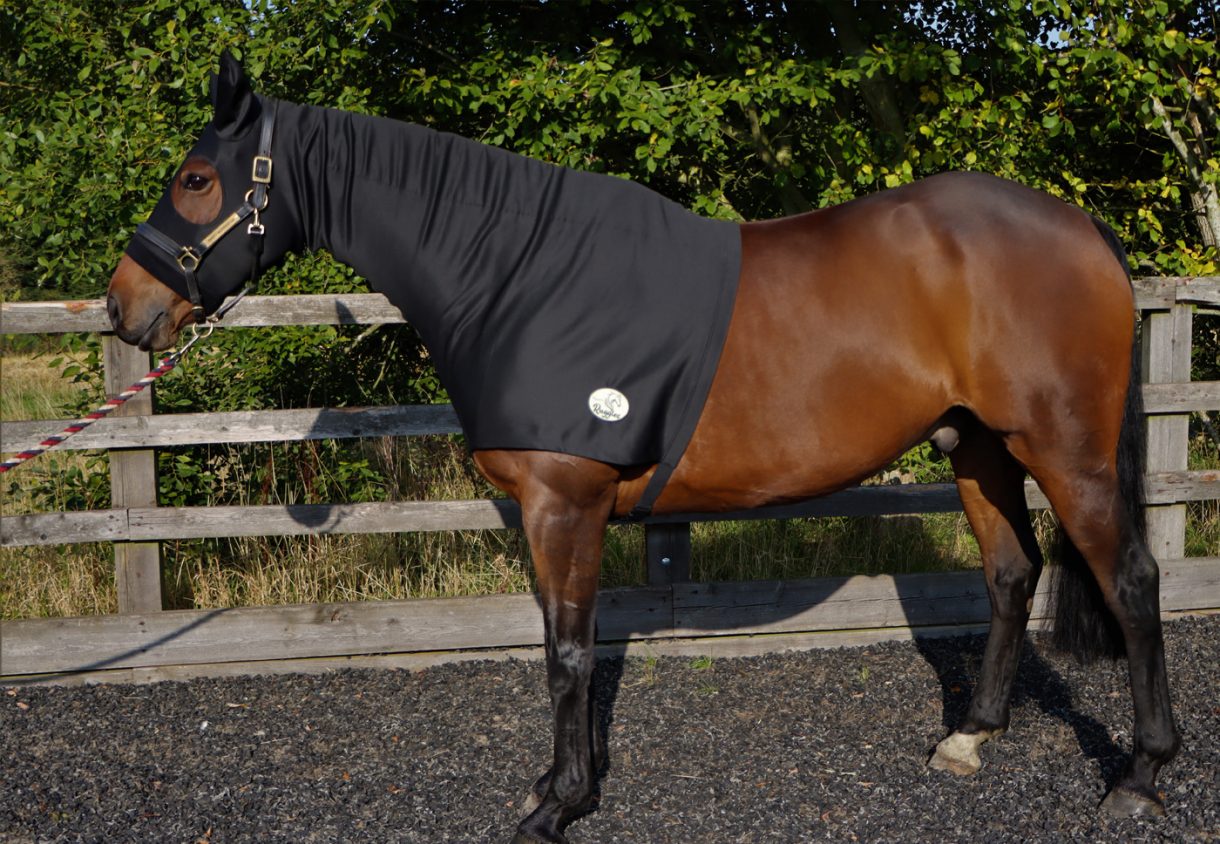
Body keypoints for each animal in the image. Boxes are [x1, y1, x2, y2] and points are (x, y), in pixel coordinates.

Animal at [106, 53, 1179, 843]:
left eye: (196, 178)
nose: (125, 306)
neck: (518, 273)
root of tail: (1076, 224)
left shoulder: (565, 504)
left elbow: (571, 653)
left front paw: (559, 805)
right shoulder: (546, 515)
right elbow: (556, 639)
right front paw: (555, 784)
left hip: (1065, 451)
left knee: (1130, 580)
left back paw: (1140, 774)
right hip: (980, 448)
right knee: (1011, 572)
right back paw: (971, 738)